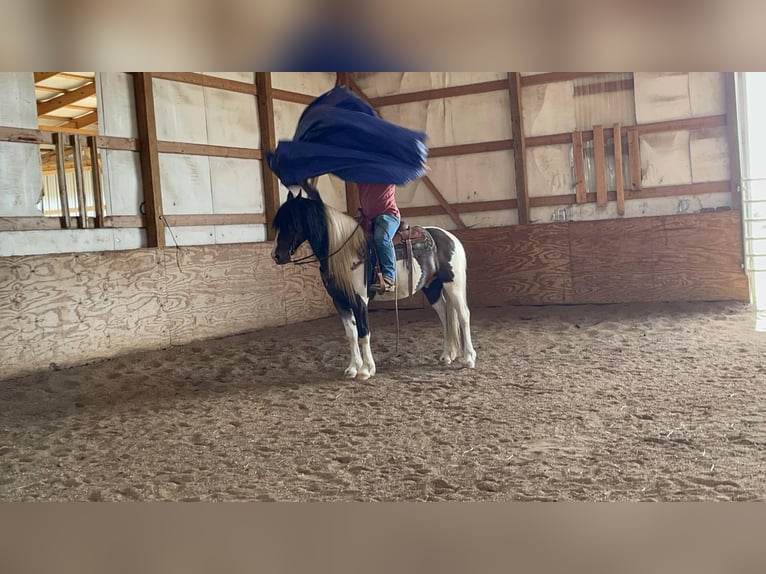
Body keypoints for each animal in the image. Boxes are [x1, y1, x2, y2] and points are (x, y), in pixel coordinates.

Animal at [270, 184, 474, 382]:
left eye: (292, 222)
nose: (276, 255)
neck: (345, 252)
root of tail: (450, 237)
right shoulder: (340, 301)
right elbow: (351, 334)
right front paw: (352, 368)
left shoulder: (360, 300)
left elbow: (363, 333)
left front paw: (366, 370)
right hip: (432, 287)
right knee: (445, 316)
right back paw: (447, 355)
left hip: (453, 285)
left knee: (463, 315)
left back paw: (469, 358)